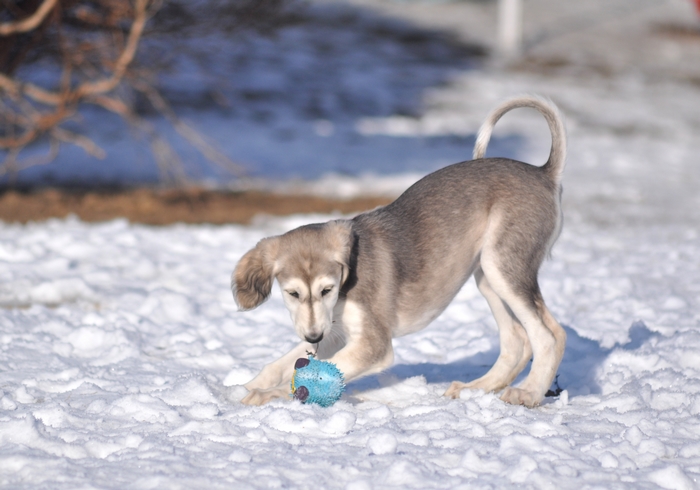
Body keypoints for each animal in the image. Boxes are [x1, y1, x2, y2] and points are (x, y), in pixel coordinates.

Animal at [232, 94, 568, 408]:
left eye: (326, 289)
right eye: (292, 294)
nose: (312, 336)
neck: (345, 287)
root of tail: (543, 173)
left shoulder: (372, 344)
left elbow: (312, 373)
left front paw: (268, 394)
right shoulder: (334, 332)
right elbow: (283, 362)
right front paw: (246, 385)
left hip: (503, 266)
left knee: (550, 335)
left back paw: (529, 392)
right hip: (486, 274)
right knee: (518, 339)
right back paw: (476, 388)